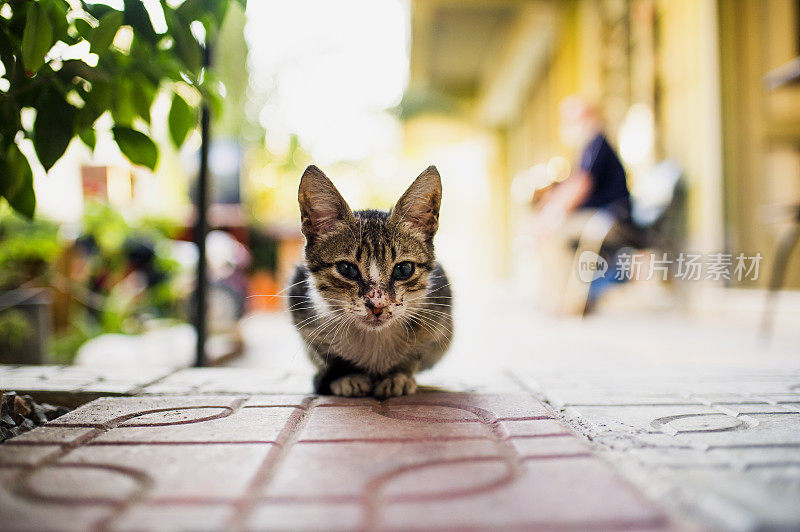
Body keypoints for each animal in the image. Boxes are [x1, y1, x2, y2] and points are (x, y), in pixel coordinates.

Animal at [290, 164, 454, 396]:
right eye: (347, 269)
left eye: (404, 269)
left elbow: (417, 352)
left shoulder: (440, 315)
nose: (378, 305)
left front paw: (399, 375)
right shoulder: (301, 310)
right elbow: (324, 353)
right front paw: (345, 375)